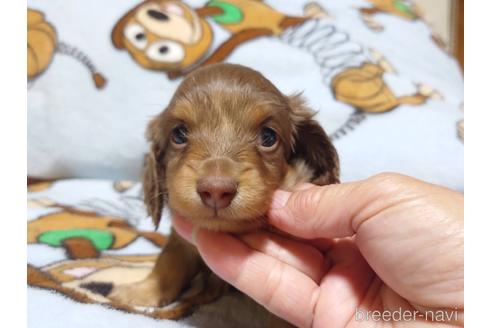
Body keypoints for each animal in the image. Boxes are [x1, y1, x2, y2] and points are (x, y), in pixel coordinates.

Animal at [110, 62, 338, 324]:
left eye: (268, 136)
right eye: (179, 134)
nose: (216, 190)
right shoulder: (181, 239)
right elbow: (169, 264)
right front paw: (142, 291)